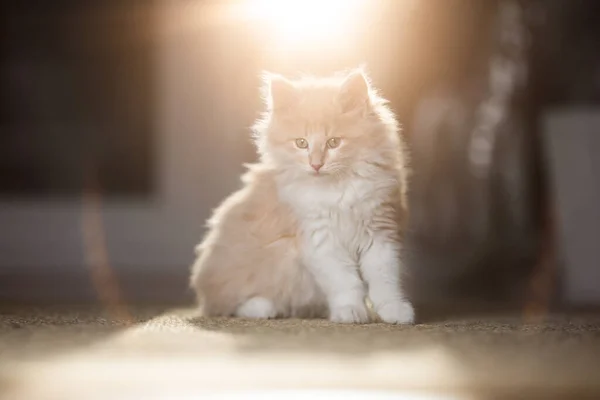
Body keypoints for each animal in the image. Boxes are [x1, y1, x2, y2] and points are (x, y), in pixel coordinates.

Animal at [190, 68, 414, 324]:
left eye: (334, 142)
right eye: (301, 143)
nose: (316, 164)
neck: (338, 189)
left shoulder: (380, 230)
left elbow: (384, 279)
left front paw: (394, 310)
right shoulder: (319, 239)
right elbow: (345, 282)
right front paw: (349, 311)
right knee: (229, 305)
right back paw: (264, 308)